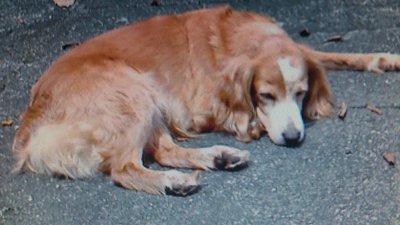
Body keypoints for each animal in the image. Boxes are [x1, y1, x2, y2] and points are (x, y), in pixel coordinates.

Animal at [11, 5, 400, 195]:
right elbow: (240, 114)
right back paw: (174, 182)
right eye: (266, 96)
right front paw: (252, 124)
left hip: (148, 99)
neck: (240, 40)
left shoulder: (302, 52)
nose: (293, 138)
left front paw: (384, 58)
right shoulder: (200, 108)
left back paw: (219, 158)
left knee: (164, 151)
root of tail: (32, 120)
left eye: (301, 93)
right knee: (124, 169)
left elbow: (331, 54)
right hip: (134, 90)